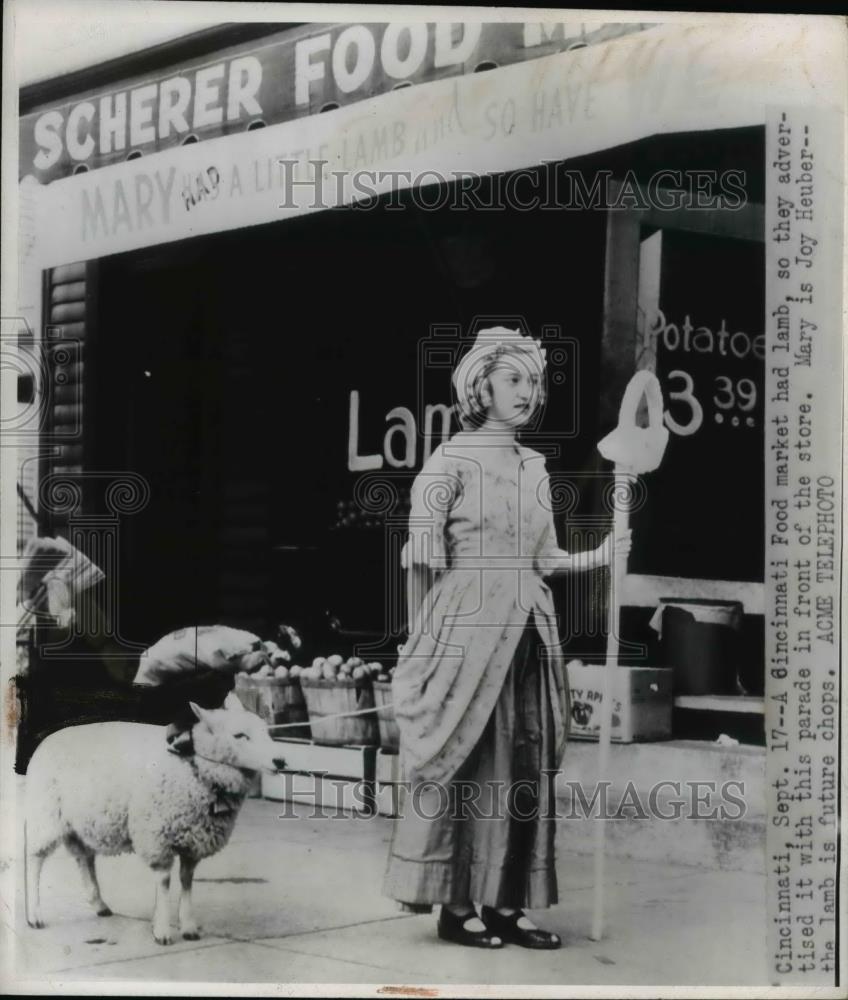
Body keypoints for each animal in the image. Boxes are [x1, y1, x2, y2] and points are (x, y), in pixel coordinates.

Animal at [24, 700, 286, 940]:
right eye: (239, 735)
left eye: (266, 732)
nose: (280, 761)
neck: (193, 766)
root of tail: (47, 740)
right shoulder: (157, 836)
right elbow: (164, 881)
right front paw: (162, 930)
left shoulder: (193, 839)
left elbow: (187, 880)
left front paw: (188, 926)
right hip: (45, 814)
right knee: (36, 859)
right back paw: (34, 915)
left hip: (82, 822)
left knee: (84, 858)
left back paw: (99, 904)